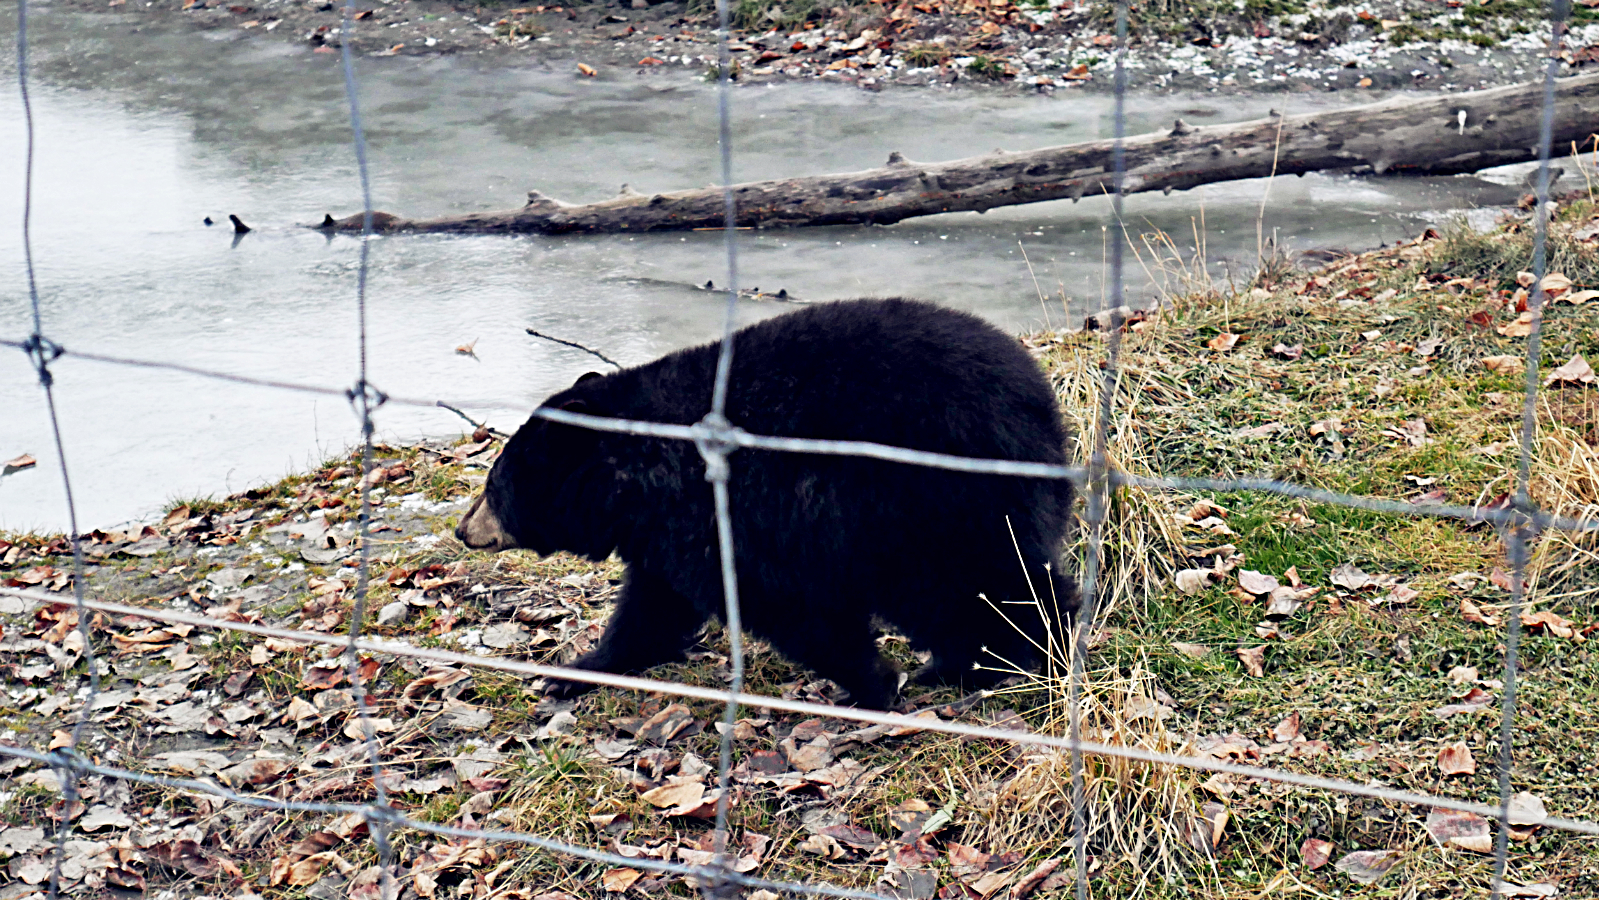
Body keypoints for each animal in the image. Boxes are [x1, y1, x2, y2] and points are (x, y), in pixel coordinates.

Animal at [463, 298, 1087, 706]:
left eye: (494, 486)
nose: (462, 529)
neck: (639, 474)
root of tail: (1041, 405)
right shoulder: (670, 533)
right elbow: (652, 608)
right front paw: (575, 670)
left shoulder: (735, 514)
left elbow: (788, 607)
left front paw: (873, 684)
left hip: (934, 500)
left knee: (981, 585)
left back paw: (1028, 655)